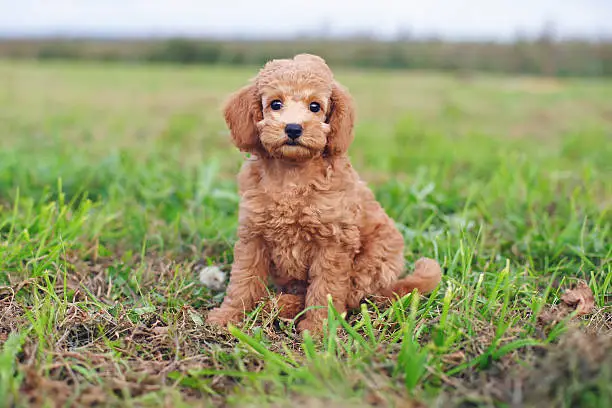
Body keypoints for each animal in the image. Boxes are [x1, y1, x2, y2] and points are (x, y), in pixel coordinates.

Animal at [206, 54, 440, 334]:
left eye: (315, 106)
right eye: (275, 104)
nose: (293, 128)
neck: (292, 174)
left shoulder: (334, 242)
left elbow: (325, 288)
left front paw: (318, 329)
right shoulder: (253, 236)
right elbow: (243, 279)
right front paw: (228, 316)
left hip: (374, 261)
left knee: (352, 297)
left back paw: (283, 305)